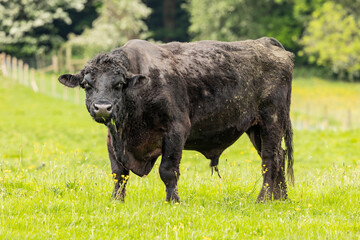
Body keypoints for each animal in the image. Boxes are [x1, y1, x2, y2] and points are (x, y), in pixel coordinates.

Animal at [59, 38, 294, 202]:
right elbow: (119, 173)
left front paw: (173, 201)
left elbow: (168, 171)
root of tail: (266, 42)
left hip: (271, 120)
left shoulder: (176, 130)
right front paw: (116, 200)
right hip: (255, 128)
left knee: (270, 159)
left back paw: (263, 199)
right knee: (279, 155)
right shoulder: (113, 138)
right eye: (86, 85)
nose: (102, 107)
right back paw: (280, 199)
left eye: (119, 84)